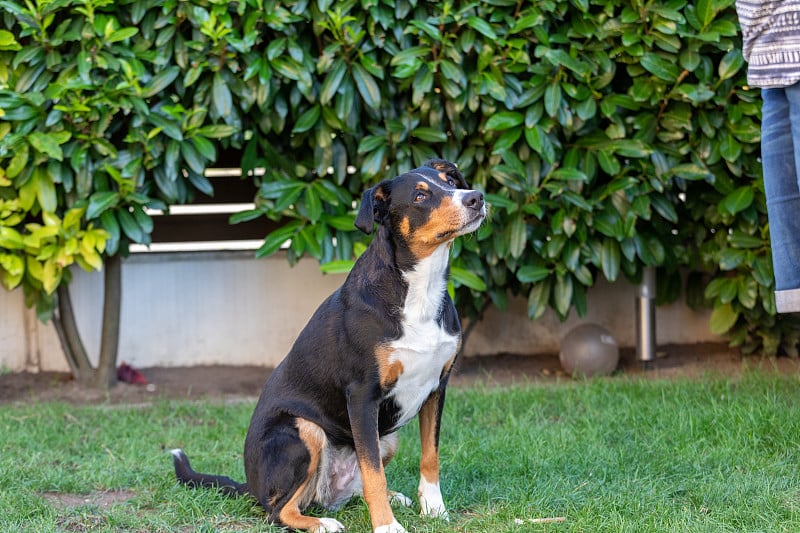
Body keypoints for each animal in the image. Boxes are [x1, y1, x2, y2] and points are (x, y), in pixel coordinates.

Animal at [172, 158, 488, 532]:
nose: (476, 197)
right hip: (303, 429)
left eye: (450, 181)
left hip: (387, 438)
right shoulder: (363, 395)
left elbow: (429, 456)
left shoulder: (437, 387)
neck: (419, 290)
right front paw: (386, 525)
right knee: (278, 510)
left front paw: (434, 508)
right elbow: (373, 473)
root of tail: (251, 485)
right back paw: (322, 522)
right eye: (420, 196)